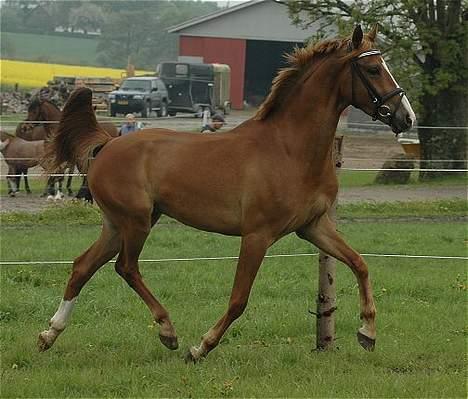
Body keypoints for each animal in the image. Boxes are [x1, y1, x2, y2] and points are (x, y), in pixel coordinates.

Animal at [38, 25, 414, 362]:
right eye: (373, 69)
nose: (406, 118)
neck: (290, 149)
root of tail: (108, 144)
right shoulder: (257, 235)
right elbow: (239, 299)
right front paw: (200, 348)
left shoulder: (314, 227)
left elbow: (360, 263)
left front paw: (367, 333)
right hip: (135, 222)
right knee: (126, 267)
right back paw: (168, 332)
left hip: (120, 224)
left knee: (83, 266)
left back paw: (49, 334)